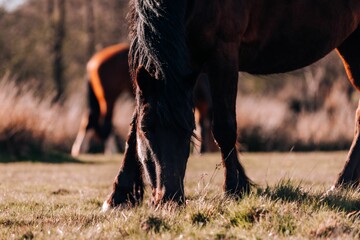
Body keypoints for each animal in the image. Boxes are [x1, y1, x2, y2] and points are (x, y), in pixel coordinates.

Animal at [102, 0, 360, 208]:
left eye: (189, 130)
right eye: (147, 130)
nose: (169, 199)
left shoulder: (223, 52)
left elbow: (224, 128)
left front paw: (233, 189)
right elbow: (133, 126)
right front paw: (119, 195)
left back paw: (341, 184)